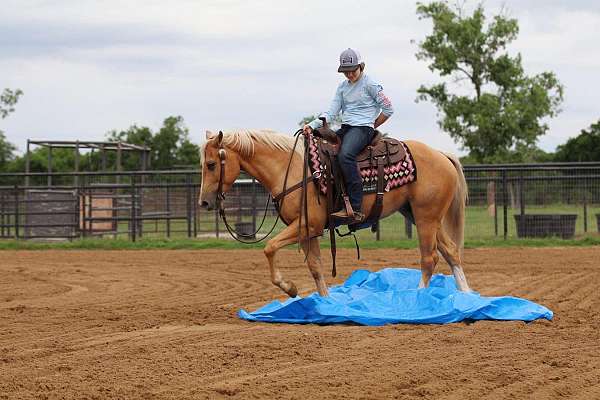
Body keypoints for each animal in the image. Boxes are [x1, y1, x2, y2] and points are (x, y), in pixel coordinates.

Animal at [199, 129, 472, 296]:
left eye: (211, 164)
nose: (203, 203)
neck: (292, 169)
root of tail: (441, 155)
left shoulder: (306, 225)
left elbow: (269, 247)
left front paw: (290, 288)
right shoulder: (308, 232)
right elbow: (316, 267)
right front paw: (324, 302)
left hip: (426, 217)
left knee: (429, 258)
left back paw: (417, 299)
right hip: (420, 216)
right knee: (450, 252)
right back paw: (466, 296)